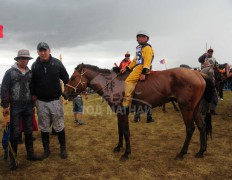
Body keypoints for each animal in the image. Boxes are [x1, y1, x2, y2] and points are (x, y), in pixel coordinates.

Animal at [62, 63, 214, 160]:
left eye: (73, 77)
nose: (64, 94)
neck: (113, 84)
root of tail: (198, 73)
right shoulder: (119, 113)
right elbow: (120, 130)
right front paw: (118, 147)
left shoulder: (123, 112)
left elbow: (126, 131)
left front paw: (126, 153)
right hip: (195, 109)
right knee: (202, 126)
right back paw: (201, 151)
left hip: (186, 108)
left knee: (190, 128)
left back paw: (182, 153)